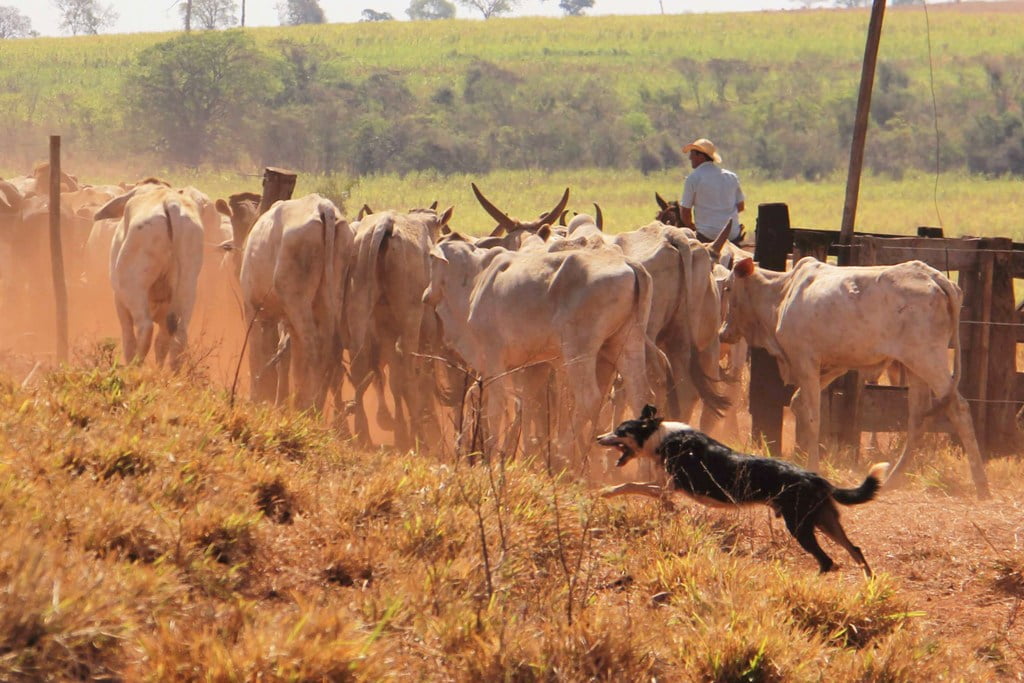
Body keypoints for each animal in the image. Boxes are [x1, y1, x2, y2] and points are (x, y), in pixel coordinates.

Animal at [598, 405, 888, 577]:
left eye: (619, 431)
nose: (598, 438)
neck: (661, 437)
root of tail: (816, 477)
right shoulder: (667, 488)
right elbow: (644, 492)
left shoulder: (669, 487)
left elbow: (630, 485)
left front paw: (605, 491)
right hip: (825, 524)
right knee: (855, 550)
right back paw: (869, 584)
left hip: (800, 527)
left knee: (827, 562)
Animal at [720, 254, 991, 497]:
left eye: (727, 287)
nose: (723, 333)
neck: (782, 293)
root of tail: (935, 277)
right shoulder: (833, 365)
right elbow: (799, 404)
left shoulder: (805, 361)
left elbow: (813, 416)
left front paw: (813, 466)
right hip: (915, 368)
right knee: (918, 417)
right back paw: (892, 480)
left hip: (927, 359)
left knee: (958, 407)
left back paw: (982, 486)